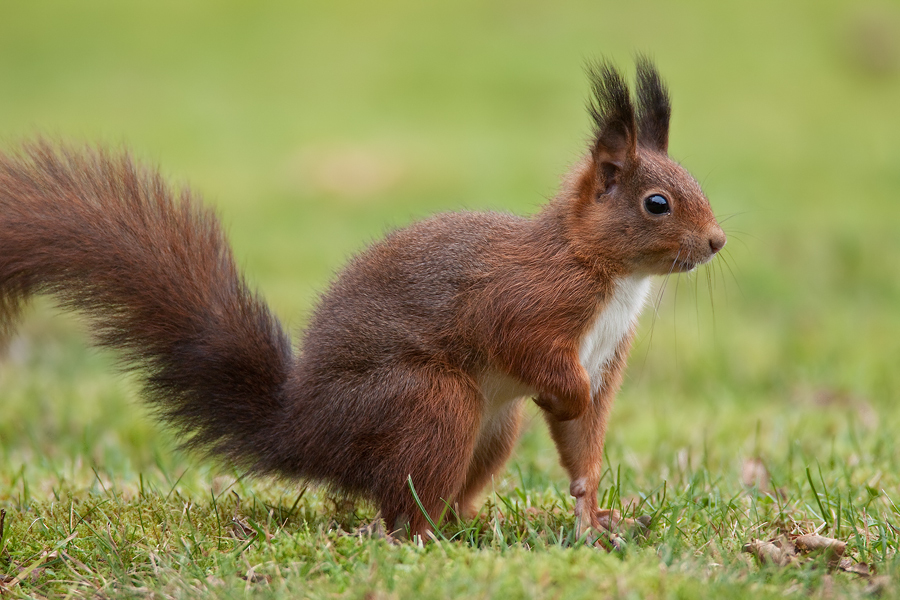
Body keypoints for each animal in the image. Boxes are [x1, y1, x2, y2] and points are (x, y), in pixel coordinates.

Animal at [0, 59, 724, 544]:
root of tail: (303, 431)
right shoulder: (524, 304)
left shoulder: (605, 354)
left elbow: (583, 445)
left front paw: (594, 515)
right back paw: (427, 538)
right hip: (429, 402)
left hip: (493, 426)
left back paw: (471, 523)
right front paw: (566, 406)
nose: (717, 241)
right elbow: (531, 356)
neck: (603, 269)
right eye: (656, 203)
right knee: (400, 504)